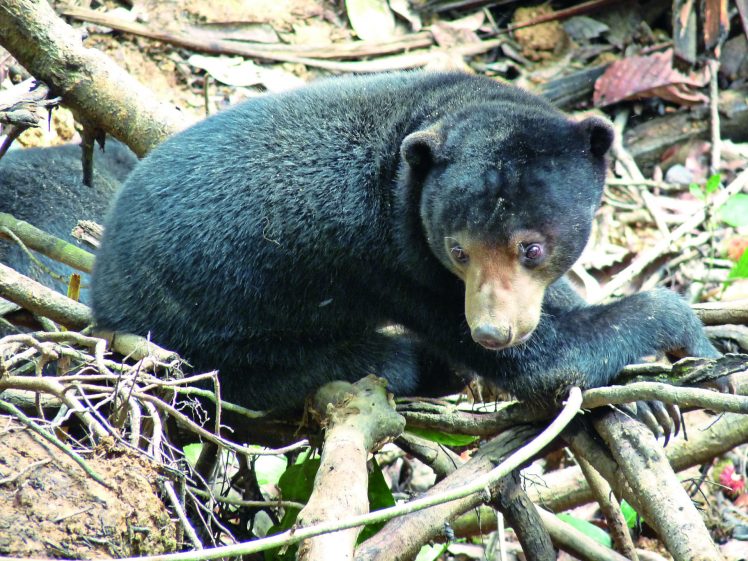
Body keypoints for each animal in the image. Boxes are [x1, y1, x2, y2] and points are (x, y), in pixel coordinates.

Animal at [89, 72, 720, 410]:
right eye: (458, 251)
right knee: (366, 360)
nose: (490, 332)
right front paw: (685, 335)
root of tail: (101, 294)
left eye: (532, 249)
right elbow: (545, 362)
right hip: (223, 345)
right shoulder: (395, 268)